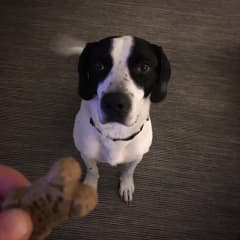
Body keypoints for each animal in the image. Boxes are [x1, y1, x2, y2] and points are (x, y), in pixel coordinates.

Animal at [73, 35, 171, 202]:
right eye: (98, 66)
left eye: (144, 67)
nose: (114, 103)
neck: (116, 134)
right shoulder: (86, 154)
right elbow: (93, 170)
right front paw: (90, 187)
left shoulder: (136, 156)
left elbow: (128, 171)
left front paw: (126, 184)